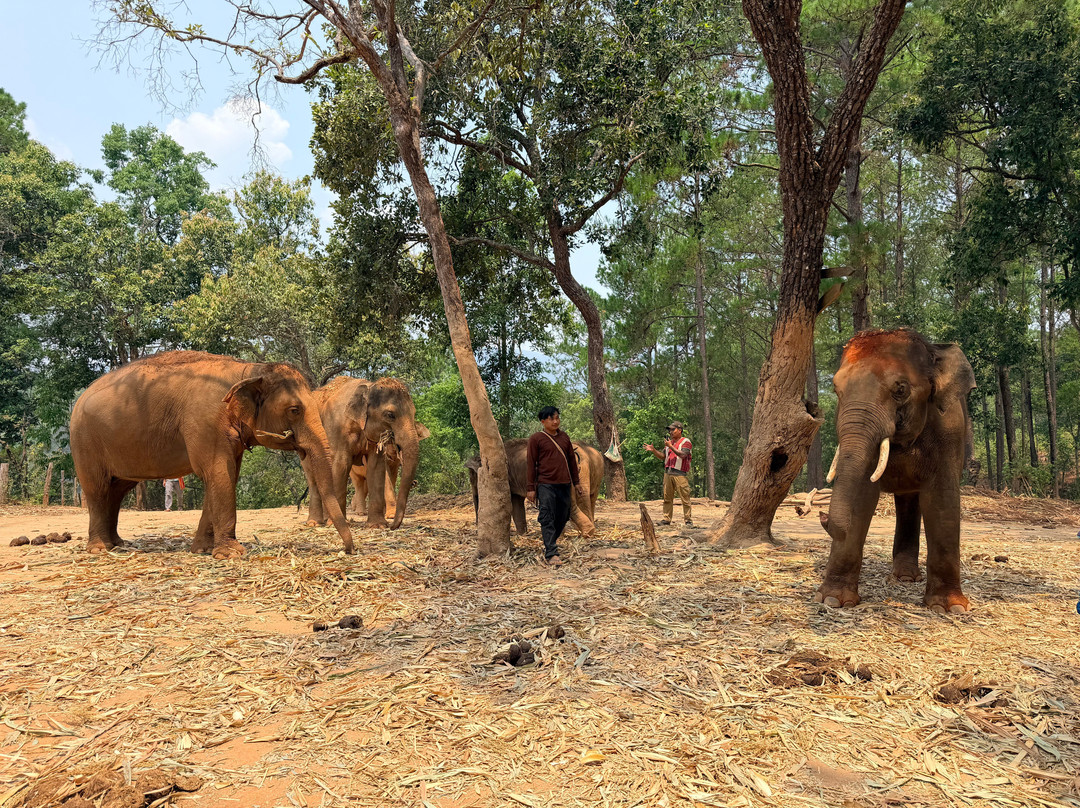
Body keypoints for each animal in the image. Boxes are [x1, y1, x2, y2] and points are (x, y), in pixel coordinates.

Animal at [69, 351, 353, 558]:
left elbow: (226, 476)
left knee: (117, 489)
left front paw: (203, 550)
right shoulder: (204, 422)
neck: (249, 370)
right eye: (295, 410)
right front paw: (232, 554)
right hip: (84, 443)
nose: (348, 550)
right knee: (97, 488)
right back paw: (100, 549)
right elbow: (218, 472)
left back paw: (118, 543)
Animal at [301, 376, 428, 530]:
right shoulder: (337, 430)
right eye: (390, 415)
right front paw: (337, 524)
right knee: (312, 477)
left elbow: (376, 467)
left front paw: (378, 525)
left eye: (414, 413)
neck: (369, 386)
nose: (393, 526)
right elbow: (341, 464)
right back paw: (315, 523)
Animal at [817, 328, 976, 614]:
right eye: (836, 389)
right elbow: (860, 495)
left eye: (900, 389)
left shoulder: (949, 432)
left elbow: (942, 498)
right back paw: (904, 577)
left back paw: (906, 578)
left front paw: (950, 608)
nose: (822, 516)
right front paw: (833, 600)